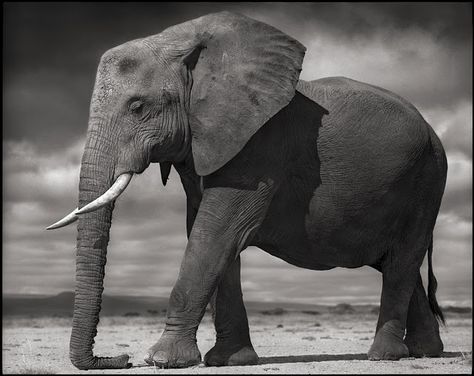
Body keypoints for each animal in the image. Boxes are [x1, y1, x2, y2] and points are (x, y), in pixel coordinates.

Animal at [48, 11, 448, 370]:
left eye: (137, 106)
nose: (120, 359)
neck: (182, 43)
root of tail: (432, 131)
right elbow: (208, 235)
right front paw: (230, 360)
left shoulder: (258, 146)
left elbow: (215, 235)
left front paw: (163, 360)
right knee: (399, 264)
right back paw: (425, 352)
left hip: (428, 180)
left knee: (401, 262)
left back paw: (383, 355)